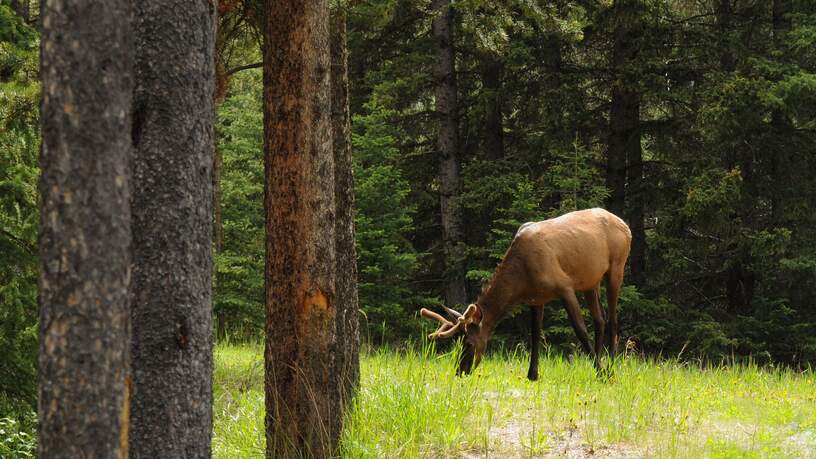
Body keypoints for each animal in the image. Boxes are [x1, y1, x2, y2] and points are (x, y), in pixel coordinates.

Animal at [418, 208, 636, 380]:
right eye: (458, 342)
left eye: (469, 343)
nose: (460, 370)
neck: (521, 281)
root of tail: (626, 227)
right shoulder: (537, 298)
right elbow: (535, 333)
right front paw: (532, 374)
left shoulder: (565, 287)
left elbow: (580, 329)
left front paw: (602, 372)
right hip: (591, 281)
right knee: (600, 320)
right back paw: (601, 361)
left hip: (617, 267)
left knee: (612, 320)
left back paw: (610, 366)